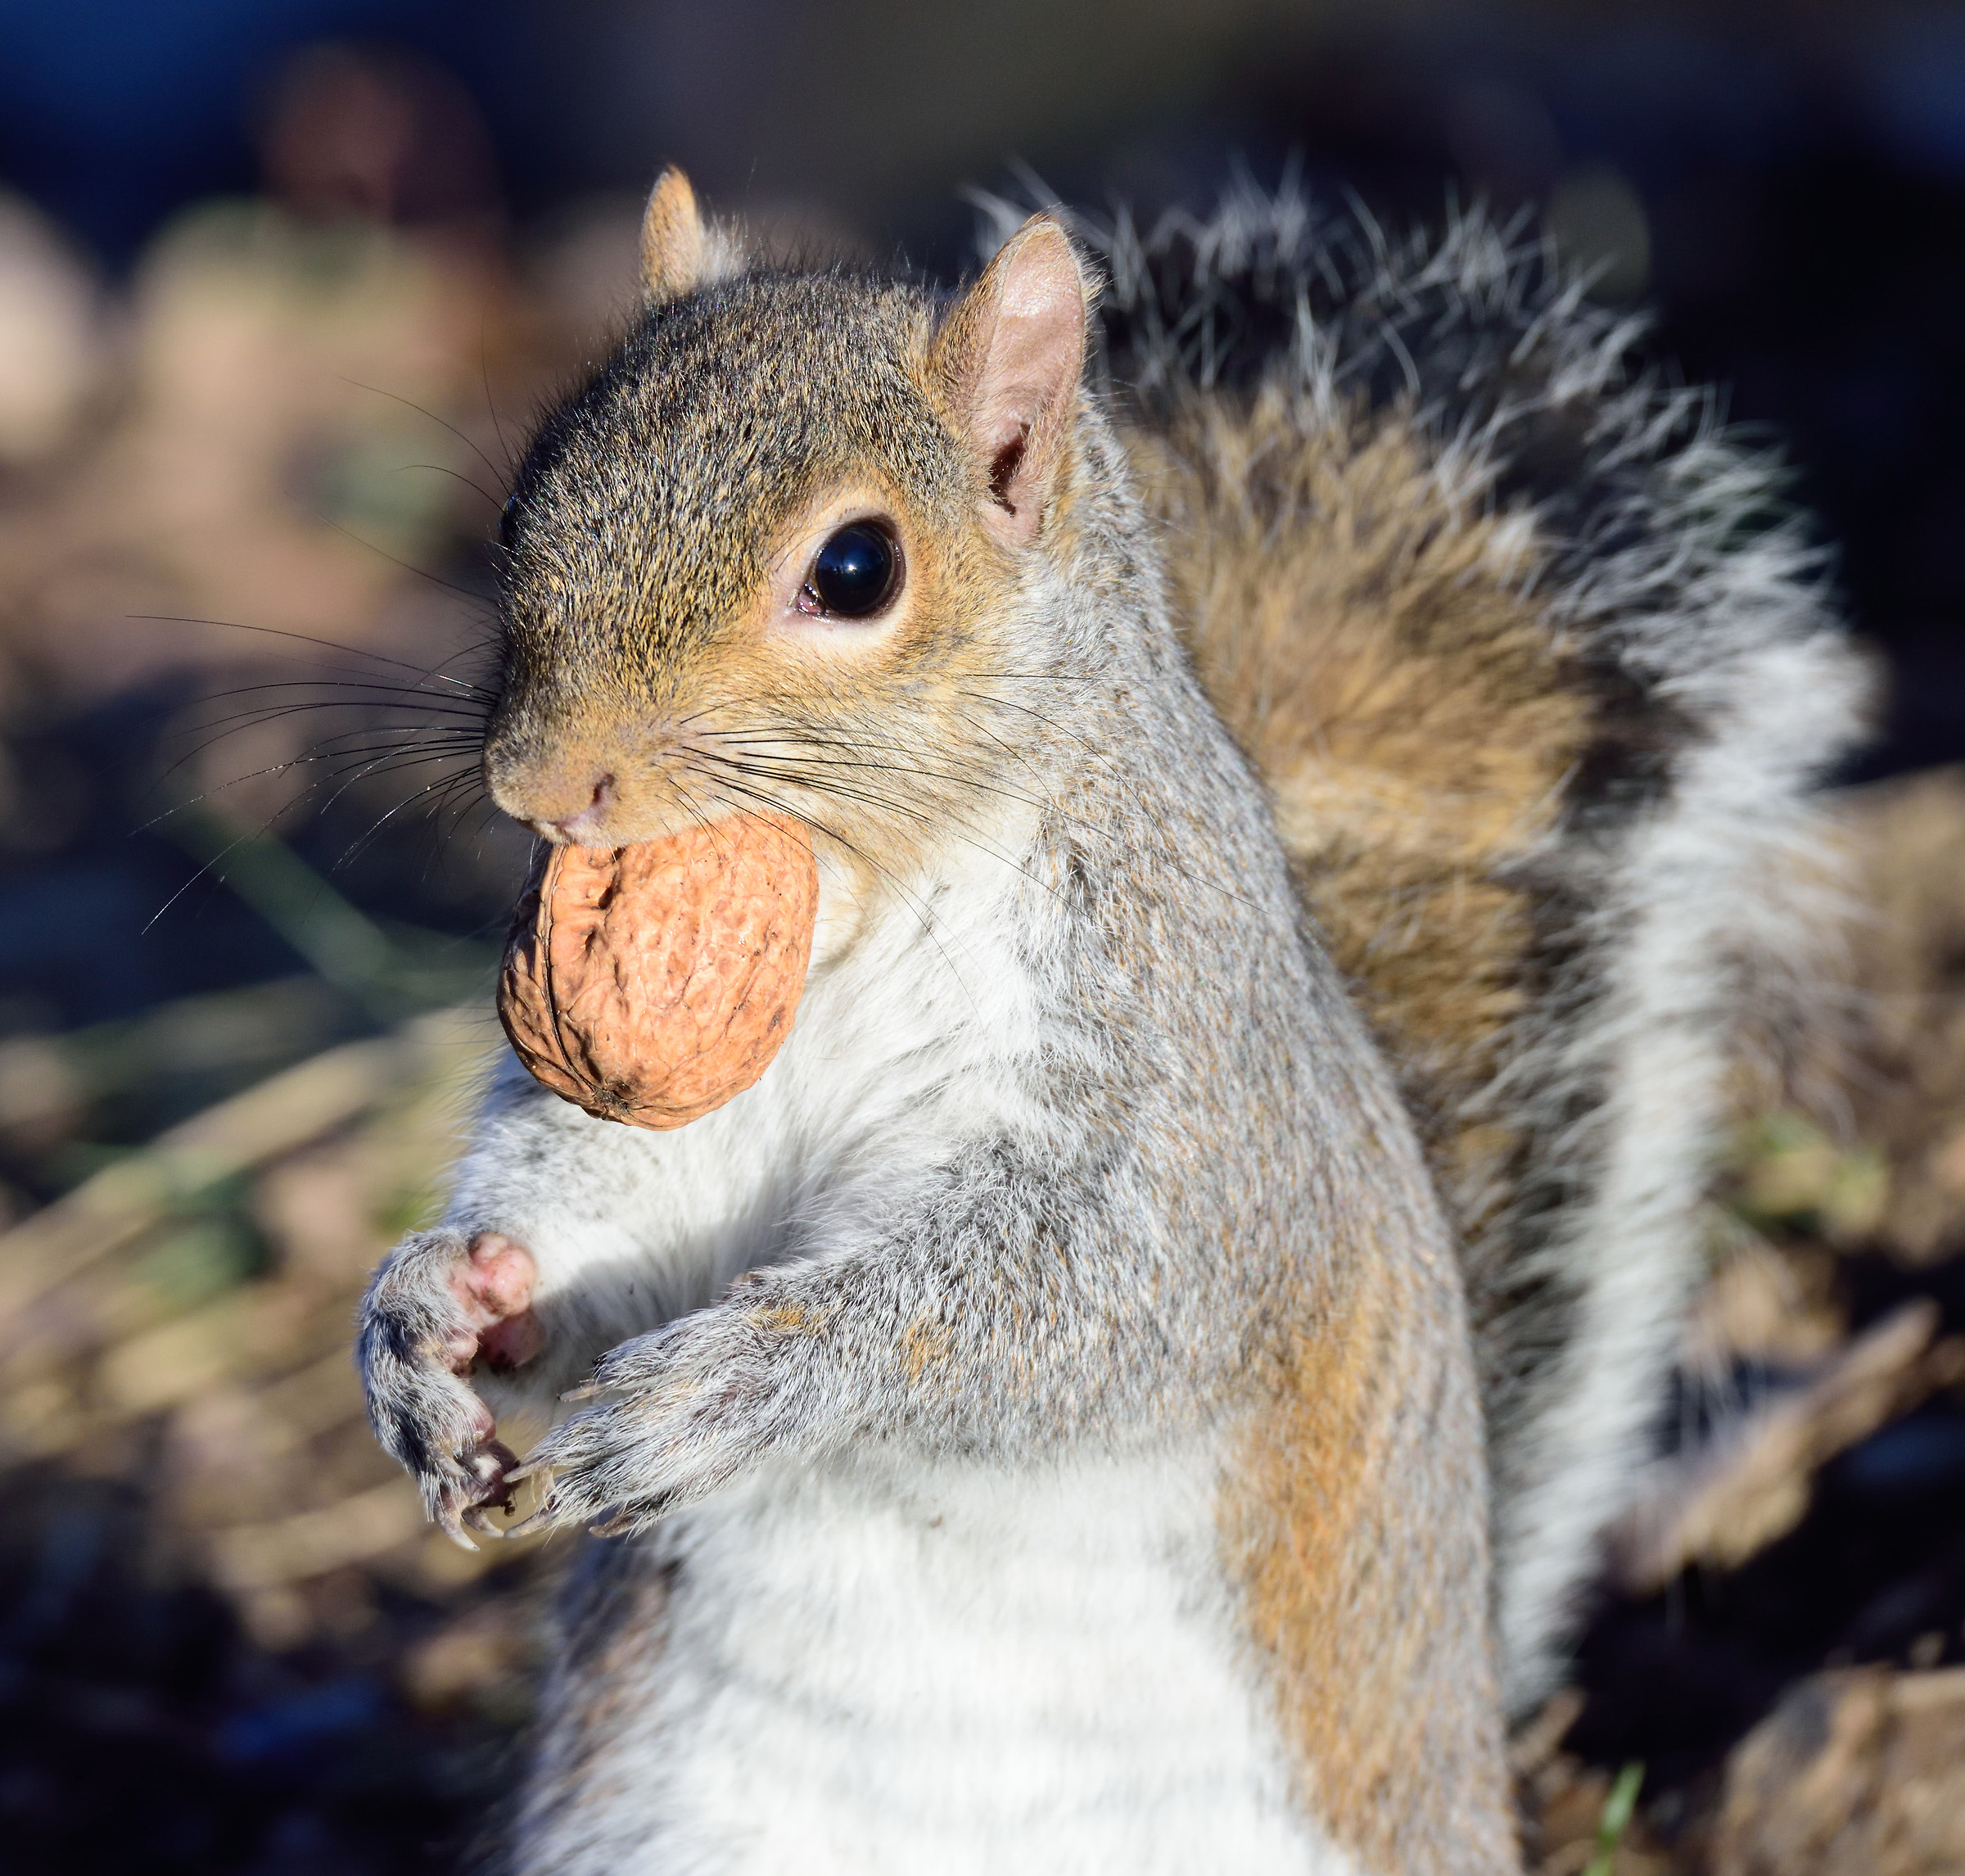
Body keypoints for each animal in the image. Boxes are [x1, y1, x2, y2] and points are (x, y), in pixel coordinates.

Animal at [357, 169, 1870, 1869]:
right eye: (519, 510)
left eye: (856, 570)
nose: (541, 784)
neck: (855, 901)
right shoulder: (668, 1111)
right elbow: (600, 1219)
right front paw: (431, 1315)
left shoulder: (1189, 1087)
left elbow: (1093, 1296)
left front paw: (739, 1383)